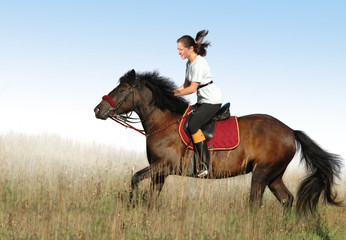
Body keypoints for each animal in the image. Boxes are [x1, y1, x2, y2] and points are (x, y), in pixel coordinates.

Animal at [93, 70, 342, 216]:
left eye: (122, 89)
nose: (98, 110)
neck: (164, 122)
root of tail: (290, 131)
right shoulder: (160, 171)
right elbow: (152, 197)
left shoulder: (164, 166)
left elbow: (135, 178)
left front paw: (131, 203)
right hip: (274, 175)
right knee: (287, 200)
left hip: (262, 173)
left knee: (255, 203)